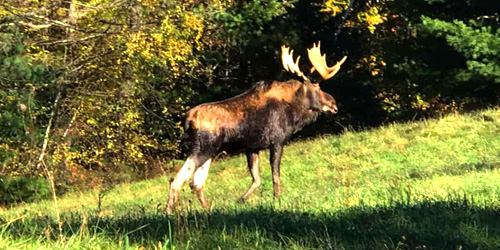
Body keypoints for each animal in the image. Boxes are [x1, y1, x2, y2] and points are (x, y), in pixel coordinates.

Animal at [166, 41, 346, 213]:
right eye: (317, 87)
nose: (334, 104)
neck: (294, 112)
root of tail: (187, 120)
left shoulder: (252, 148)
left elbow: (257, 179)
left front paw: (240, 200)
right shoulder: (277, 141)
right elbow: (275, 175)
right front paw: (277, 200)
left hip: (210, 152)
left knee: (196, 183)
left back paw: (207, 208)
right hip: (203, 148)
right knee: (178, 179)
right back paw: (169, 211)